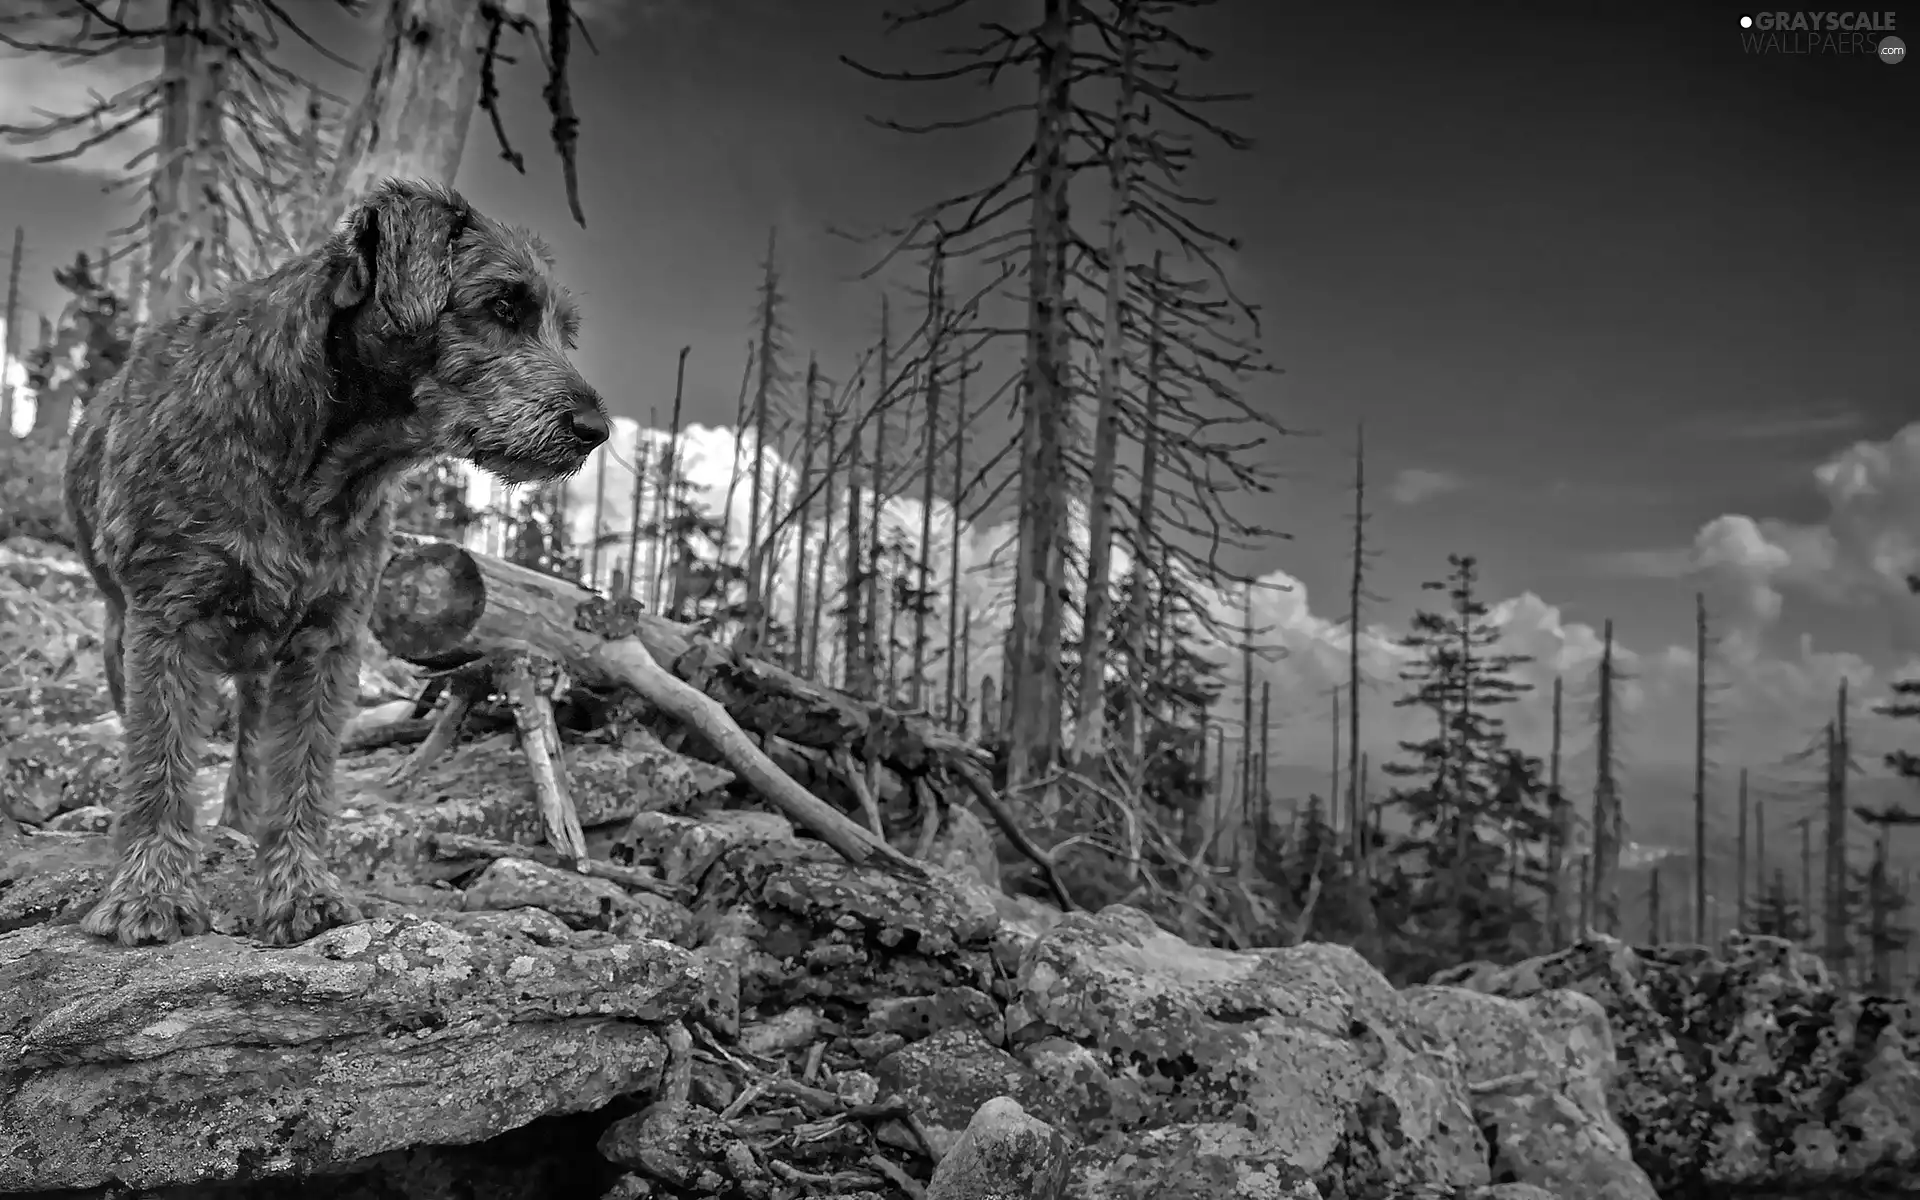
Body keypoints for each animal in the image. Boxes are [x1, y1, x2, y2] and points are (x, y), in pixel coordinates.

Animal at [65, 177, 606, 944]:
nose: (597, 428)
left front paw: (301, 891)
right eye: (504, 306)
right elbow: (158, 763)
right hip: (123, 633)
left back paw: (237, 827)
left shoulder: (327, 641)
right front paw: (149, 893)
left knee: (251, 745)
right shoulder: (164, 626)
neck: (313, 463)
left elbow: (303, 773)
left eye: (566, 329)